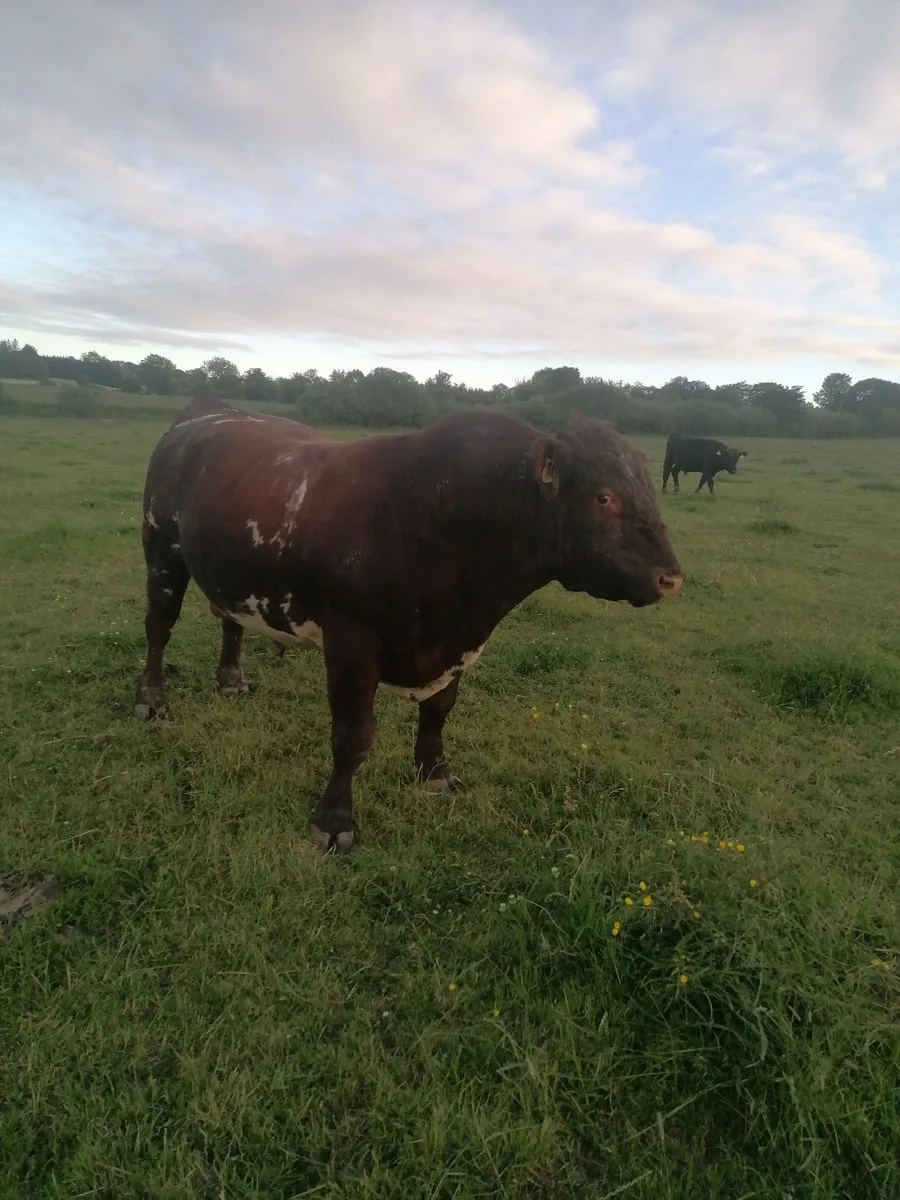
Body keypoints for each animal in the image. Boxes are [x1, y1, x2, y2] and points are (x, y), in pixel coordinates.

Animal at [134, 397, 683, 853]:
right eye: (603, 497)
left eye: (647, 489)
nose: (671, 578)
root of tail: (208, 411)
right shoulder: (352, 641)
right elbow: (352, 737)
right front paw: (333, 822)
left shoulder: (461, 643)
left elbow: (439, 712)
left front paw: (435, 774)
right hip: (161, 549)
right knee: (159, 627)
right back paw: (151, 699)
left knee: (231, 619)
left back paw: (231, 681)